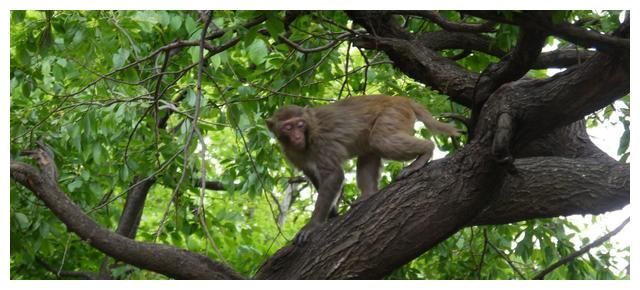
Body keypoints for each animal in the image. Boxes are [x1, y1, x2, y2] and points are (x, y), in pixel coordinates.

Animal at [266, 95, 460, 245]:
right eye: (288, 127)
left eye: (300, 125)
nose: (297, 136)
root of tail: (401, 99)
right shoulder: (293, 155)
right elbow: (313, 174)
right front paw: (332, 213)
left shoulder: (321, 143)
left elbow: (333, 175)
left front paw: (313, 226)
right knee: (370, 148)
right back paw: (368, 194)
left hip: (393, 114)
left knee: (381, 140)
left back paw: (425, 152)